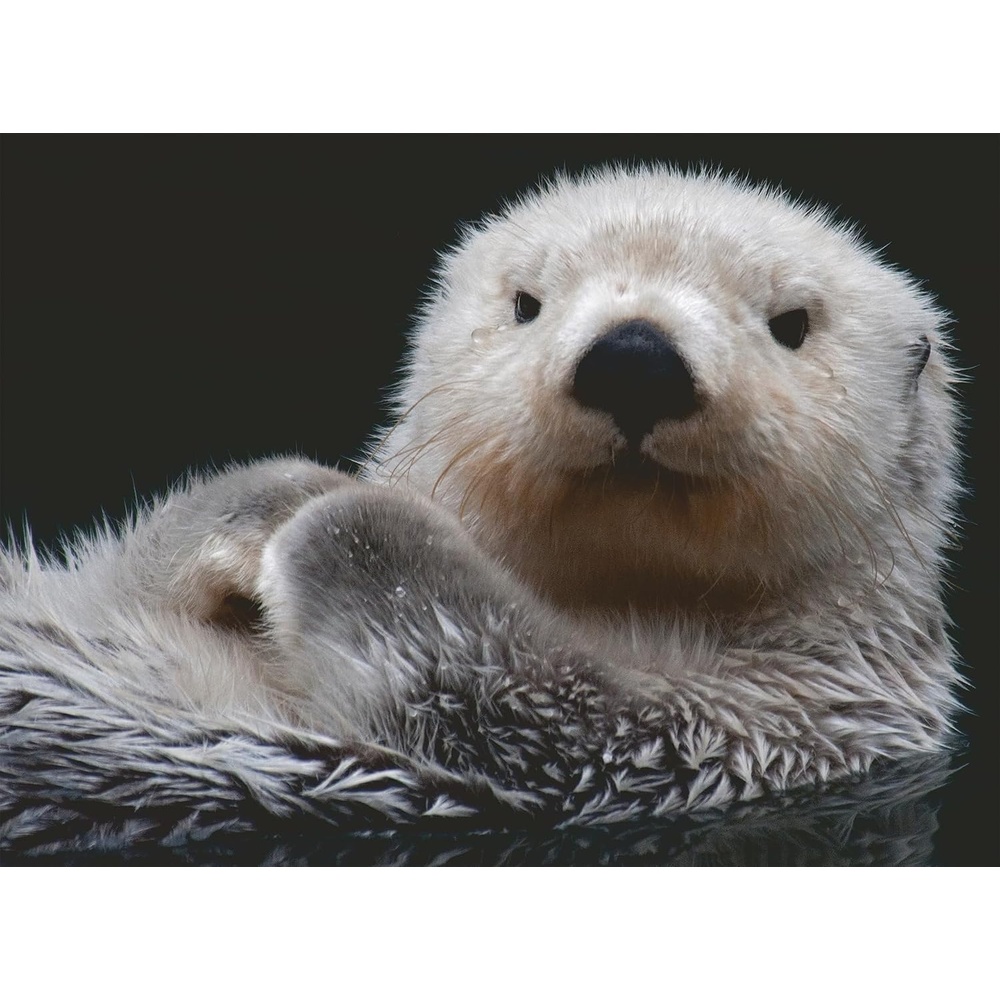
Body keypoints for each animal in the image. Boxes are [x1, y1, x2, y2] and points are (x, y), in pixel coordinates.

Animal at [0, 166, 962, 852]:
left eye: (792, 323)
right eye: (526, 303)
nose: (635, 358)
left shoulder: (753, 729)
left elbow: (511, 689)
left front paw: (343, 519)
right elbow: (129, 570)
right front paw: (278, 497)